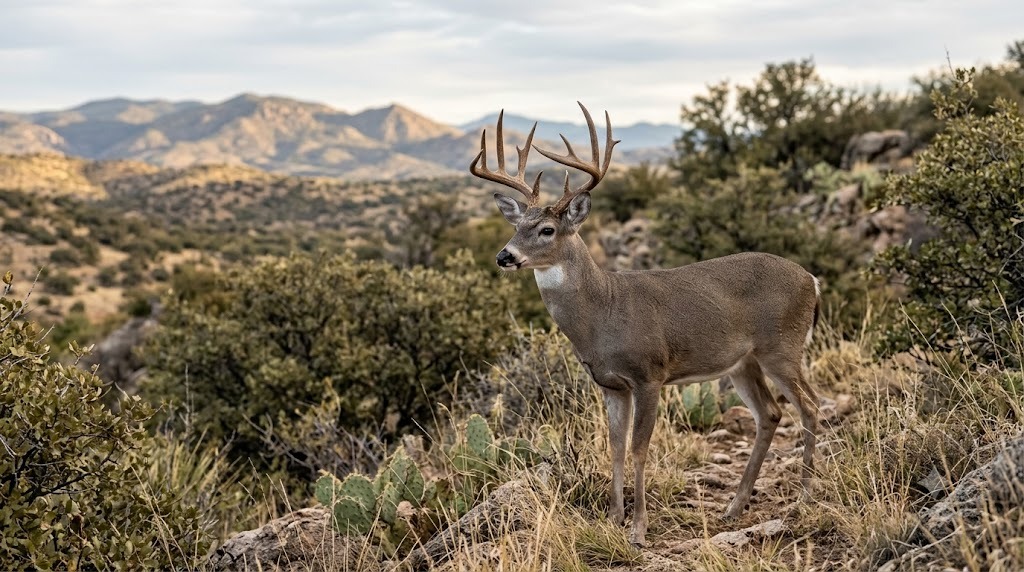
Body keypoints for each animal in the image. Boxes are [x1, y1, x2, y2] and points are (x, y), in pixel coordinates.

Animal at [469, 102, 821, 546]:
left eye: (547, 229)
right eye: (516, 226)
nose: (505, 256)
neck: (603, 315)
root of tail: (812, 280)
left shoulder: (649, 374)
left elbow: (639, 448)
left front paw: (638, 528)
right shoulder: (610, 384)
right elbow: (615, 446)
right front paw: (613, 518)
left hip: (782, 346)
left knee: (810, 405)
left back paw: (804, 496)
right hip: (743, 362)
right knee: (770, 413)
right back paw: (734, 506)